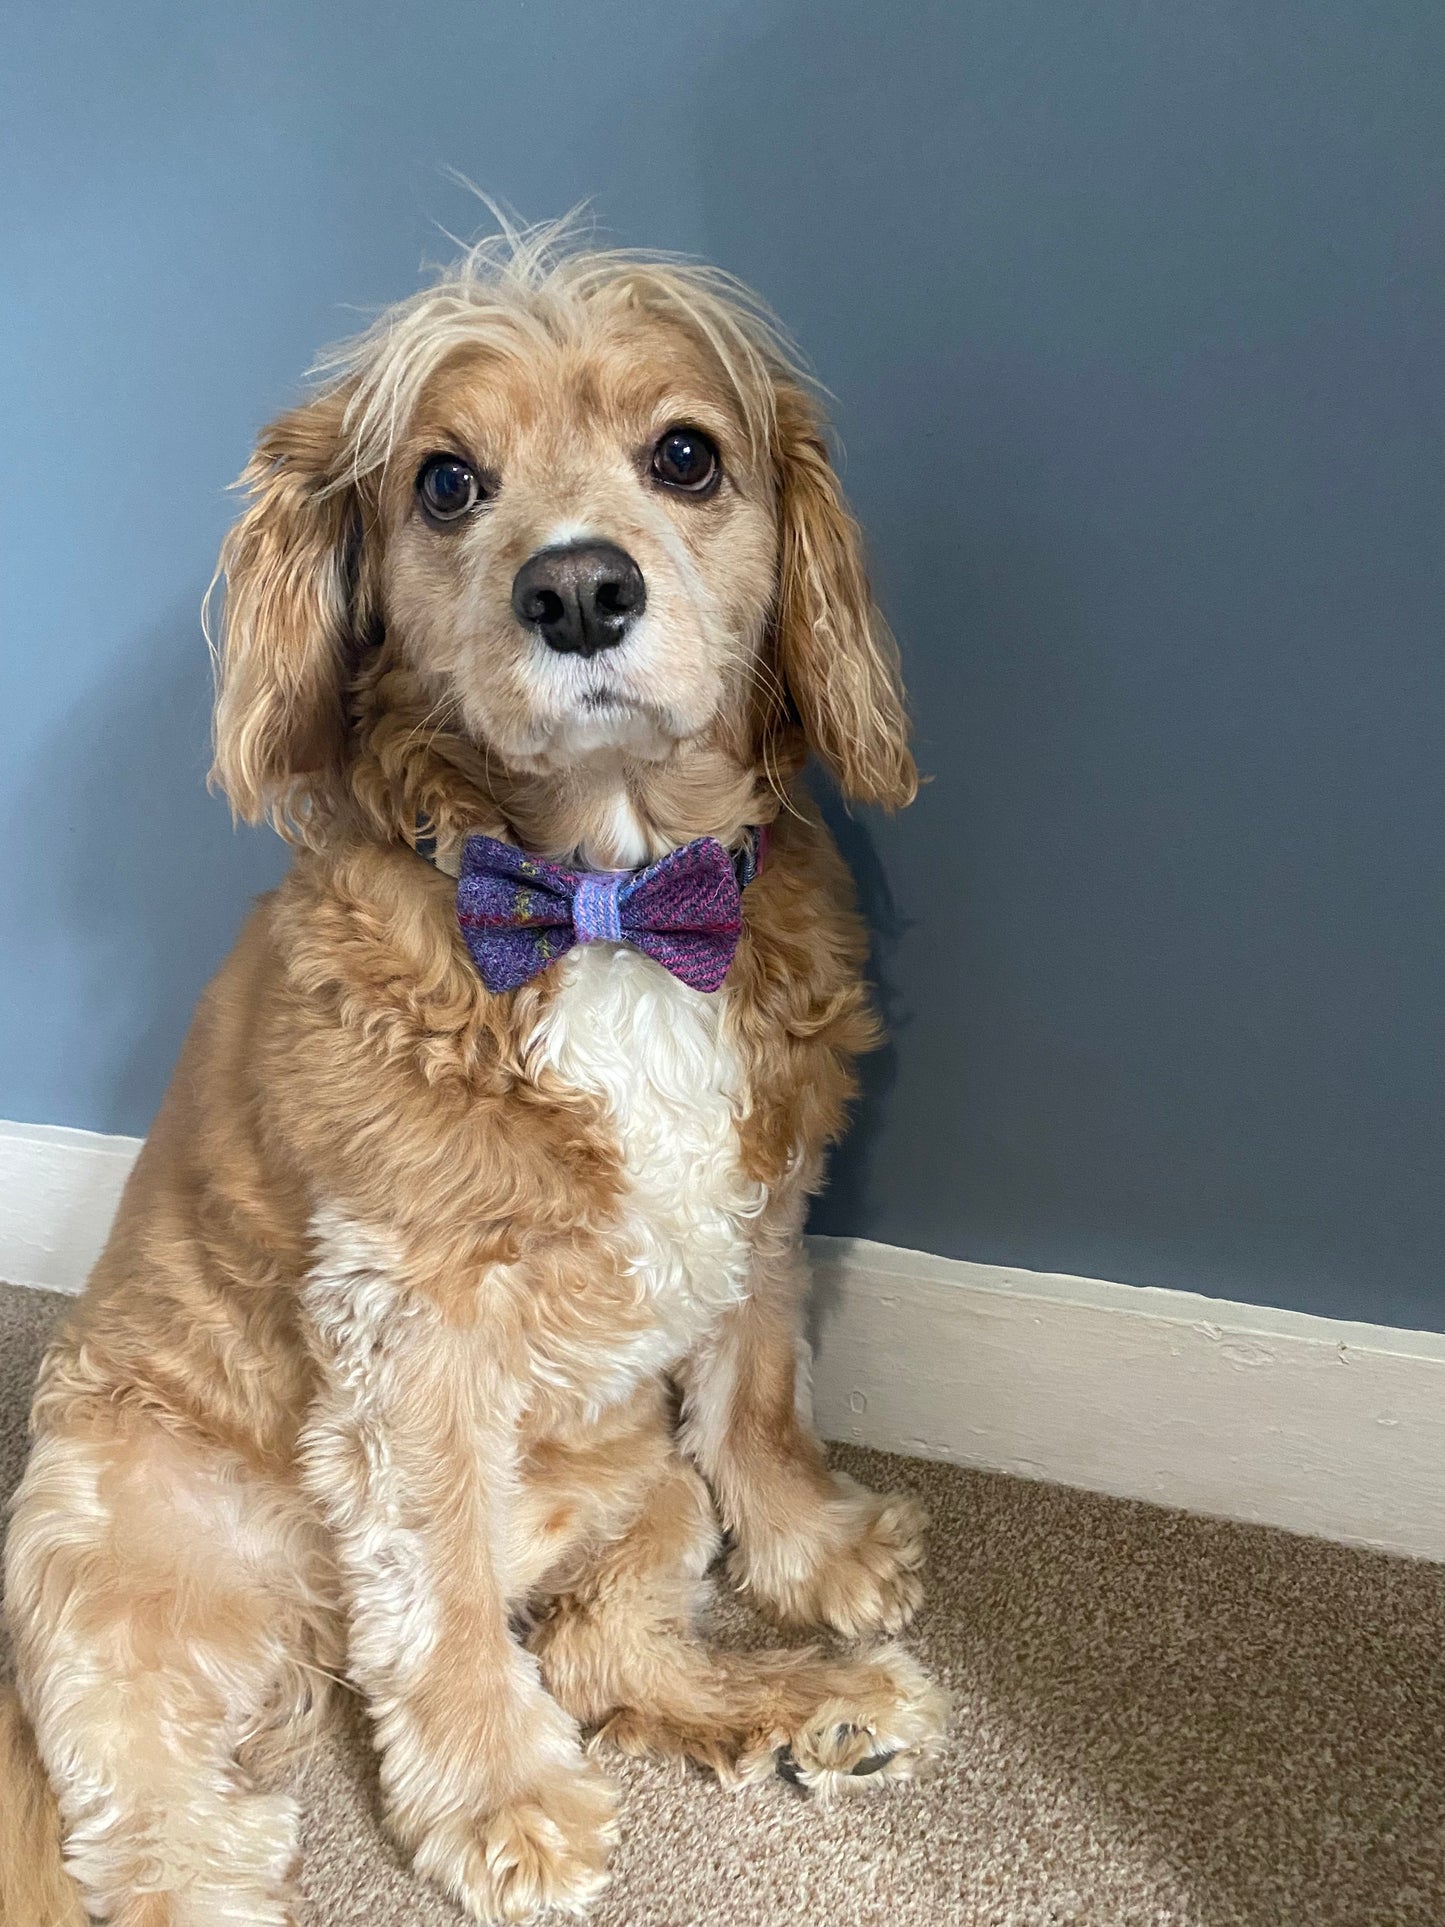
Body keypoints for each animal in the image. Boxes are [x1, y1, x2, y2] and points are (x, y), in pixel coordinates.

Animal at [0, 218, 951, 1919]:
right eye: (444, 481)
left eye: (687, 455)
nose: (576, 586)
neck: (606, 898)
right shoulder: (409, 1323)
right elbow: (436, 1579)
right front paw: (498, 1796)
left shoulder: (762, 1194)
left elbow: (763, 1388)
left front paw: (818, 1556)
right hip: (127, 1572)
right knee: (166, 1826)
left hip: (639, 1487)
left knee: (602, 1648)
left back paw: (812, 1708)